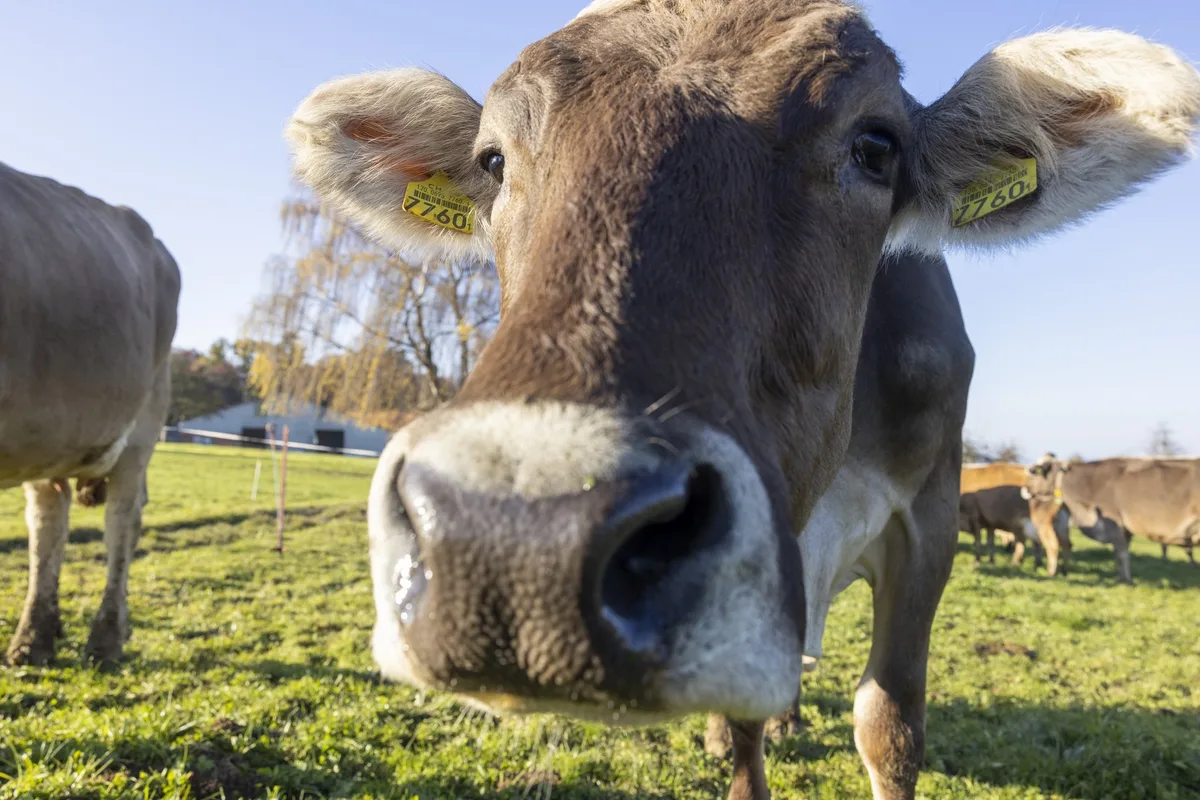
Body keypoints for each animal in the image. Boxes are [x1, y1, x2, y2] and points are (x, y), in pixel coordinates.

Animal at [1, 161, 180, 667]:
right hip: (48, 437)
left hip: (144, 424)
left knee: (123, 521)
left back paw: (105, 639)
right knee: (48, 520)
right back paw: (33, 638)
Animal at [1025, 454, 1200, 584]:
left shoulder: (1115, 525)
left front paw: (1126, 581)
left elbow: (1121, 554)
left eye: (1034, 471)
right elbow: (1122, 554)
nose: (1024, 488)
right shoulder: (1125, 531)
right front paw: (1123, 578)